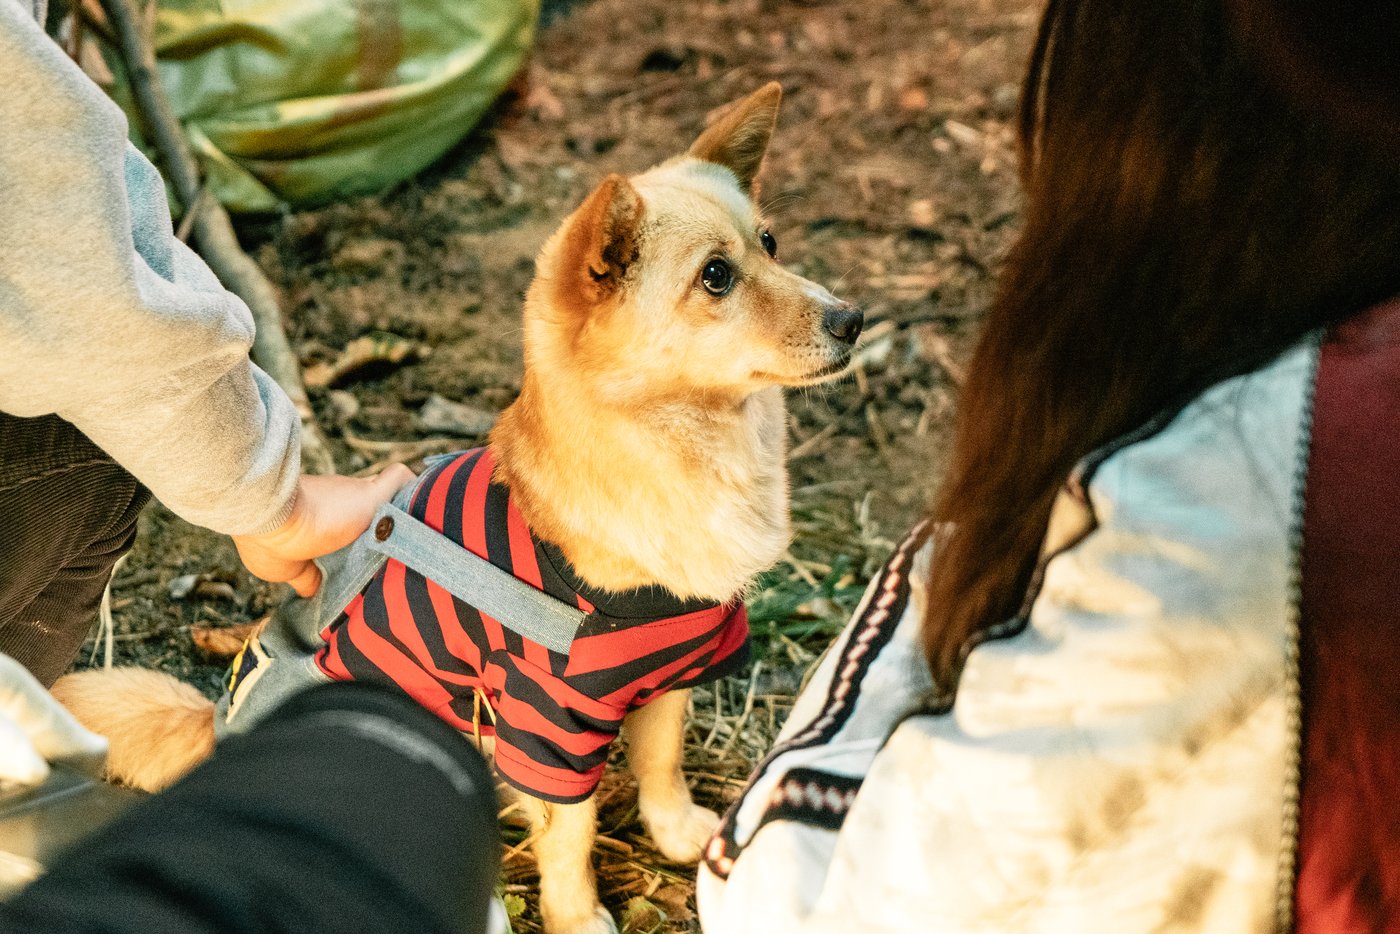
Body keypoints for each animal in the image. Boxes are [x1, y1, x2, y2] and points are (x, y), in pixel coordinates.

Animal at [54, 82, 856, 934]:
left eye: (771, 243)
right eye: (715, 276)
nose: (853, 319)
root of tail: (215, 725)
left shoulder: (674, 671)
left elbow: (661, 760)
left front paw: (678, 834)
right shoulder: (547, 722)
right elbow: (572, 836)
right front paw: (577, 915)